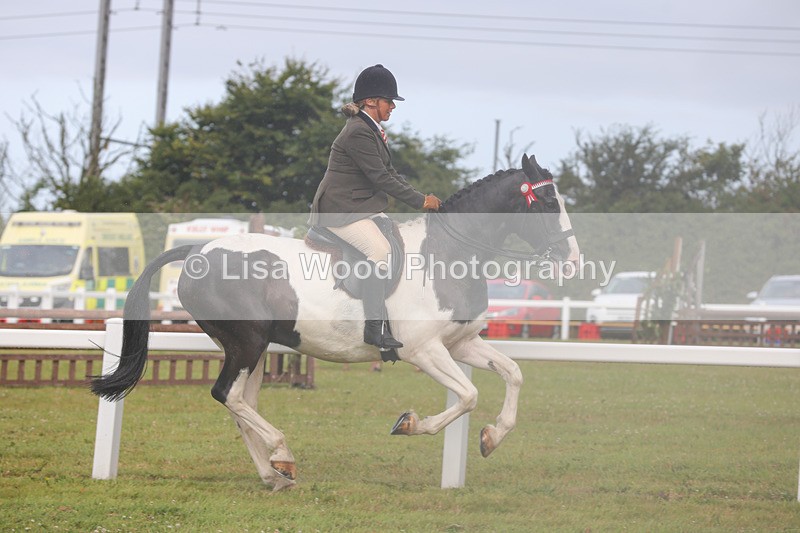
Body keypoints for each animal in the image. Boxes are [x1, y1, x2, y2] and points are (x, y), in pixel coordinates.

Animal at [91, 154, 580, 491]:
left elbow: (512, 374)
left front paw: (492, 437)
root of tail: (197, 251)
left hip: (254, 349)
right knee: (226, 395)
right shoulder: (425, 350)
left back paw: (274, 474)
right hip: (246, 343)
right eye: (547, 201)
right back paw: (282, 455)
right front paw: (410, 424)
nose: (573, 261)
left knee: (240, 404)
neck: (448, 253)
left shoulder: (460, 344)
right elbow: (468, 395)